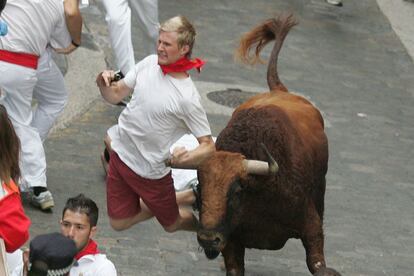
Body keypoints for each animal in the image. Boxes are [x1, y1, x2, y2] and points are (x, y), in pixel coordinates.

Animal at [196, 14, 330, 274]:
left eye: (236, 191)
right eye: (199, 186)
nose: (208, 239)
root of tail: (280, 90)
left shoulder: (311, 225)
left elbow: (317, 264)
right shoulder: (232, 242)